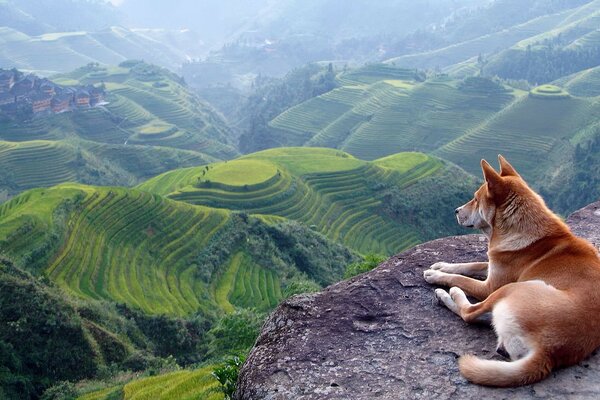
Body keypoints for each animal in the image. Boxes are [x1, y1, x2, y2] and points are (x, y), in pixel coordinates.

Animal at [422, 155, 600, 386]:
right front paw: (442, 265)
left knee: (469, 313)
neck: (522, 227)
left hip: (512, 288)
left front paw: (437, 275)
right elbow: (472, 264)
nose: (456, 211)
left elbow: (461, 278)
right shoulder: (494, 264)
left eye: (476, 199)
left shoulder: (490, 286)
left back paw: (448, 294)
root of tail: (548, 353)